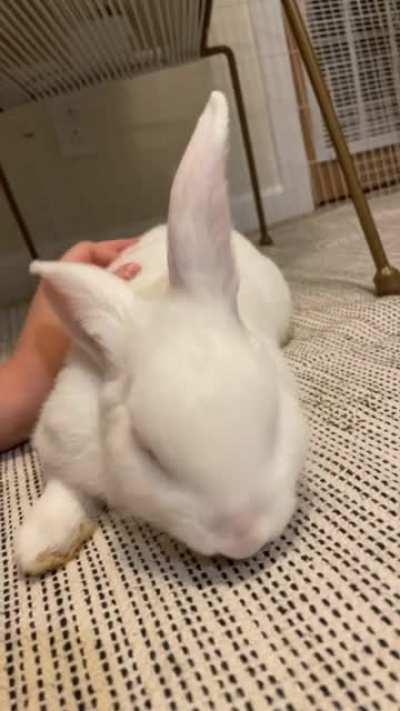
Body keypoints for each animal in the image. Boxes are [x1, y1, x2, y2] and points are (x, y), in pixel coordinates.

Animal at [15, 91, 307, 575]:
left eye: (274, 422)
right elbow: (64, 484)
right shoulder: (62, 437)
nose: (244, 537)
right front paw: (42, 543)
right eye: (148, 453)